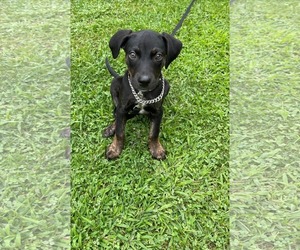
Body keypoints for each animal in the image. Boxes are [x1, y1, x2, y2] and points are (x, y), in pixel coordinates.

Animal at [103, 28, 183, 158]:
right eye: (132, 54)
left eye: (158, 56)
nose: (144, 81)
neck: (142, 93)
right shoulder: (122, 108)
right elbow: (120, 132)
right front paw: (115, 148)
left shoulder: (158, 111)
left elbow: (154, 132)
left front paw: (156, 148)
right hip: (114, 84)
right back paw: (111, 128)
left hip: (167, 85)